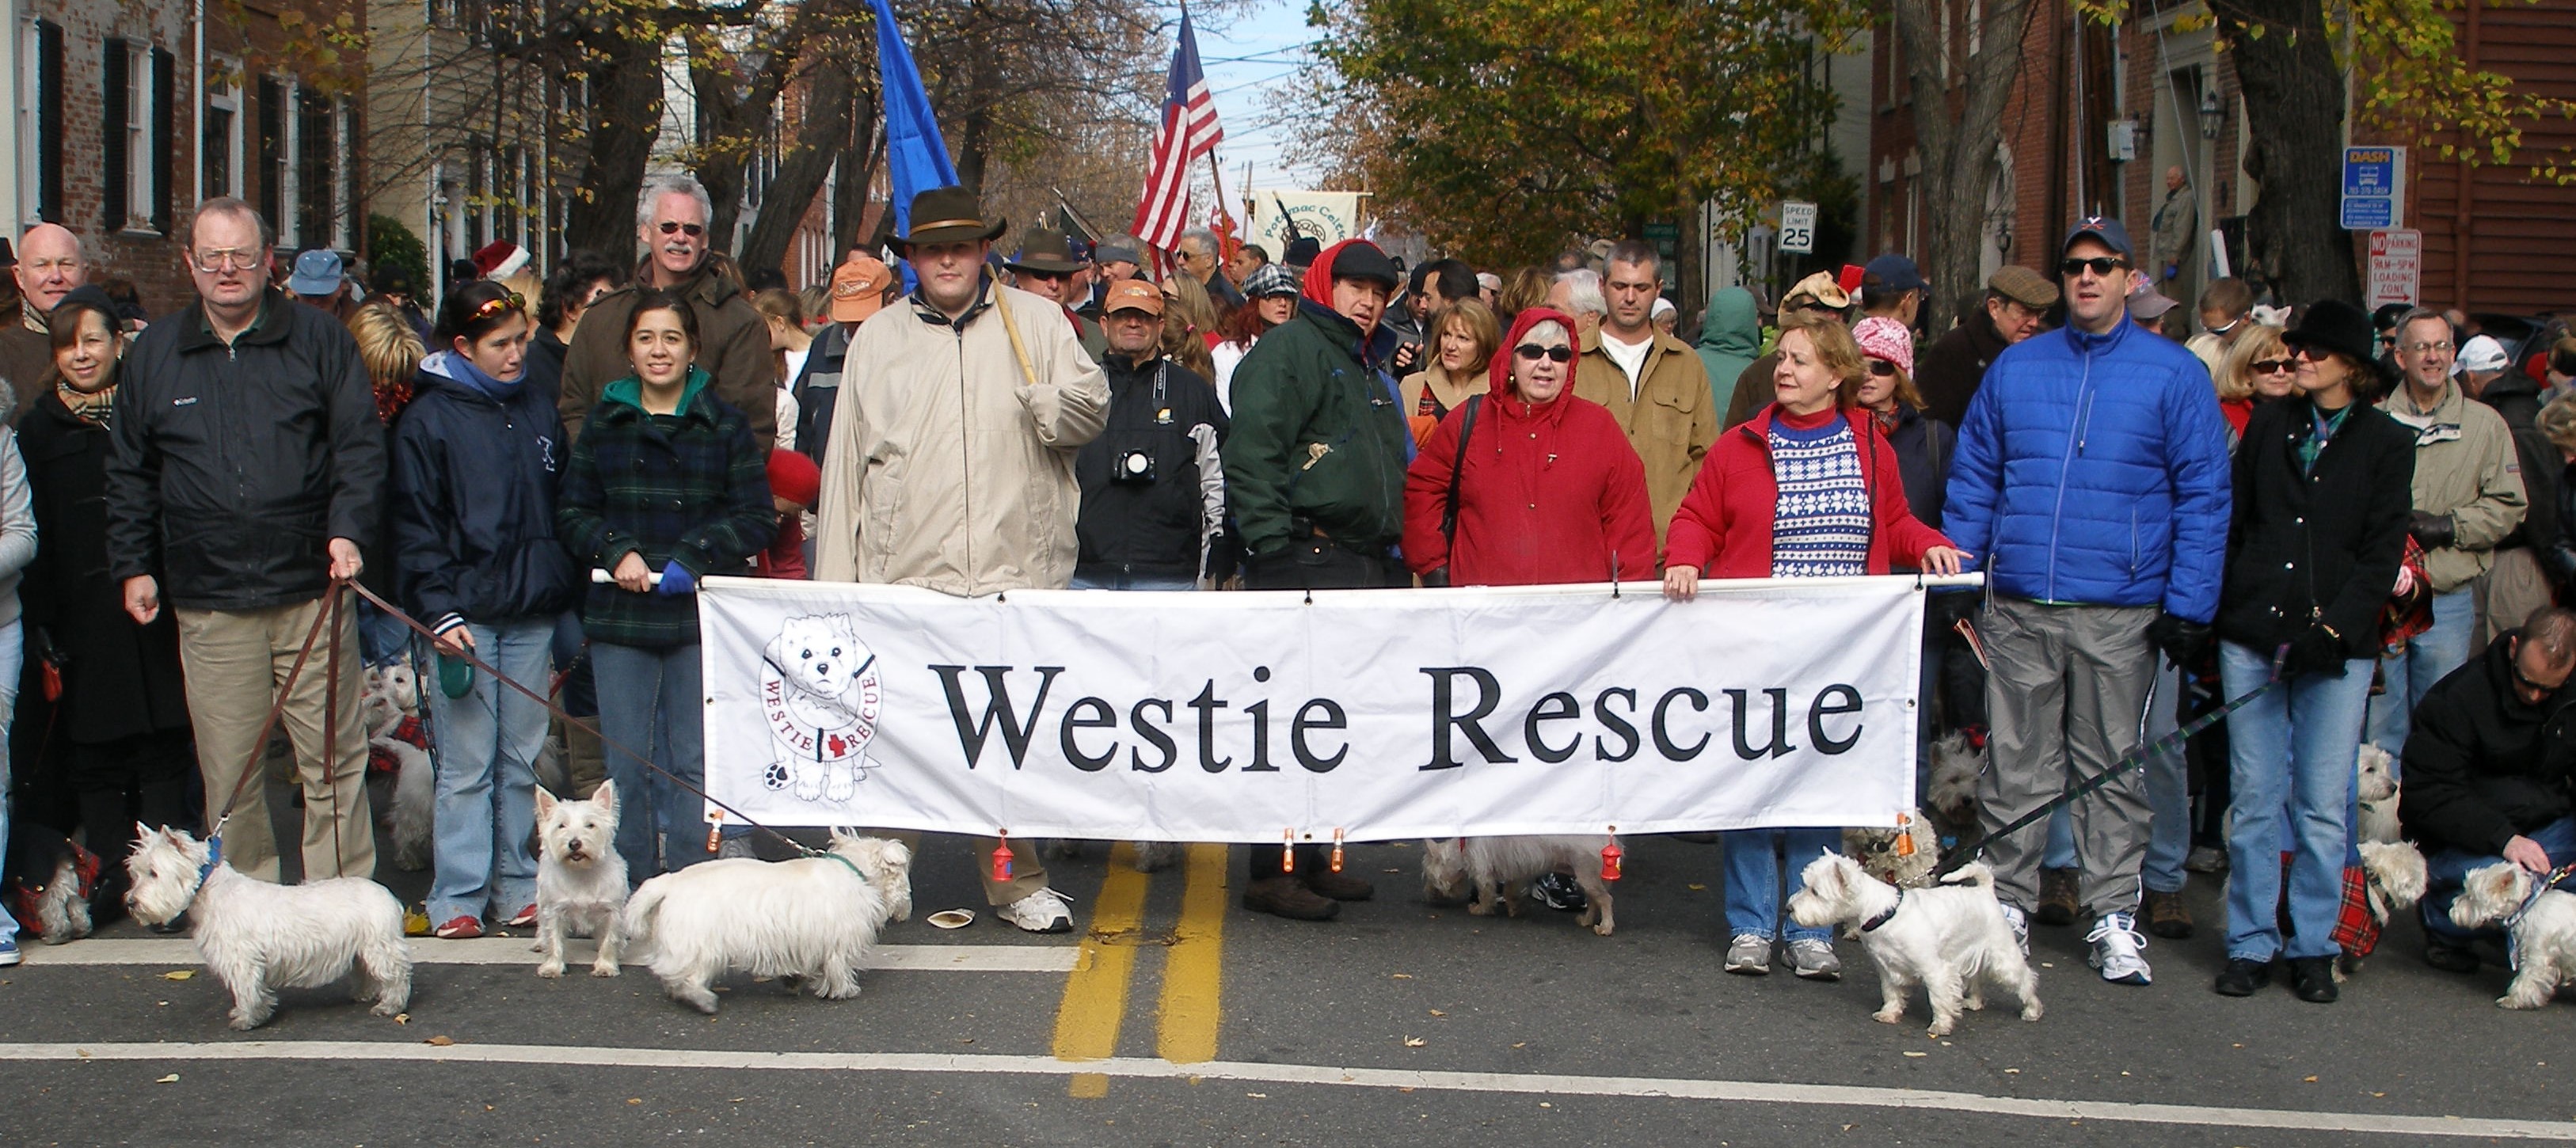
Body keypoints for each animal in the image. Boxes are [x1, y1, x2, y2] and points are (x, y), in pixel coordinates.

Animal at [120, 823, 412, 1029]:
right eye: (136, 872)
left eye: (154, 873)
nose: (131, 902)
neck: (210, 892)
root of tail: (390, 896)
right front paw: (246, 1013)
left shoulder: (241, 960)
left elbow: (246, 990)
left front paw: (247, 1019)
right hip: (363, 948)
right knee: (367, 973)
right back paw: (364, 995)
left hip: (380, 946)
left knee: (396, 977)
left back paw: (389, 1006)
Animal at [525, 782, 620, 978]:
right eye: (562, 826)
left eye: (590, 825)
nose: (574, 843)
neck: (581, 872)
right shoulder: (554, 910)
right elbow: (553, 939)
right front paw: (552, 967)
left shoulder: (612, 910)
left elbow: (609, 940)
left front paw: (605, 966)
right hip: (542, 897)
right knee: (541, 922)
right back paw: (540, 942)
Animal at [1432, 838, 1607, 937]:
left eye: (1431, 877)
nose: (1433, 895)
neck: (1464, 845)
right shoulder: (1516, 870)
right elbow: (1510, 891)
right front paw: (1515, 908)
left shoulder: (1484, 871)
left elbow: (1486, 894)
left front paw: (1479, 909)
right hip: (1587, 878)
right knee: (1594, 901)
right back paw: (1586, 920)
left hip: (1586, 874)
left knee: (1605, 900)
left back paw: (1606, 927)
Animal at [1783, 849, 2040, 1034]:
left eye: (1816, 892)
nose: (1789, 908)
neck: (1883, 913)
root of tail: (1985, 891)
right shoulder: (1886, 968)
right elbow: (1891, 993)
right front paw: (1888, 1014)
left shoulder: (1934, 969)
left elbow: (1938, 997)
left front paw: (1941, 1025)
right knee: (1976, 978)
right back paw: (1974, 1002)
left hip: (2002, 957)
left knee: (2025, 979)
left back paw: (2032, 1010)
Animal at [2441, 859, 2565, 1013]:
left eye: (2471, 896)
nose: (2452, 910)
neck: (2526, 906)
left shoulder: (2537, 957)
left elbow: (2525, 979)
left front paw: (2512, 1000)